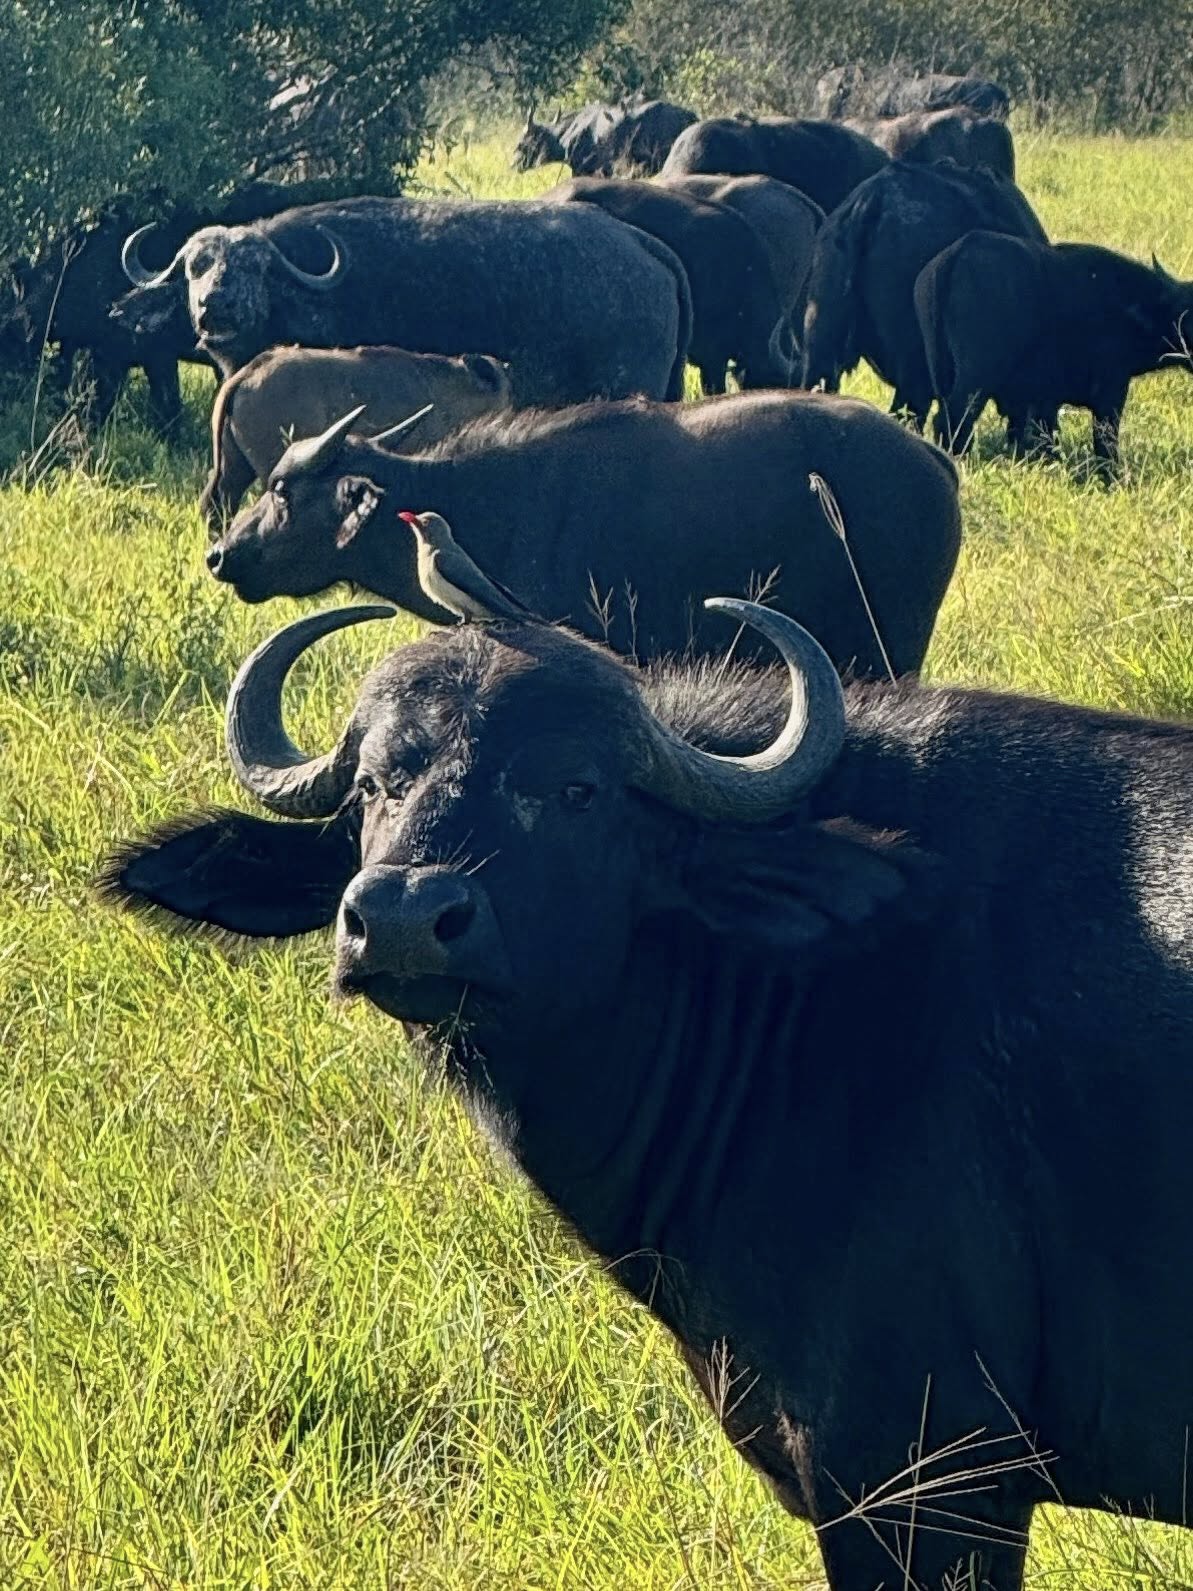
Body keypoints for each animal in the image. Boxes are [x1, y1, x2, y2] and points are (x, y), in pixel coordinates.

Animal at [916, 233, 1193, 463]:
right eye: (1188, 315)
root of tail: (957, 254)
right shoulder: (1111, 390)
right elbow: (1105, 439)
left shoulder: (1042, 397)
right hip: (976, 379)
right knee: (955, 417)